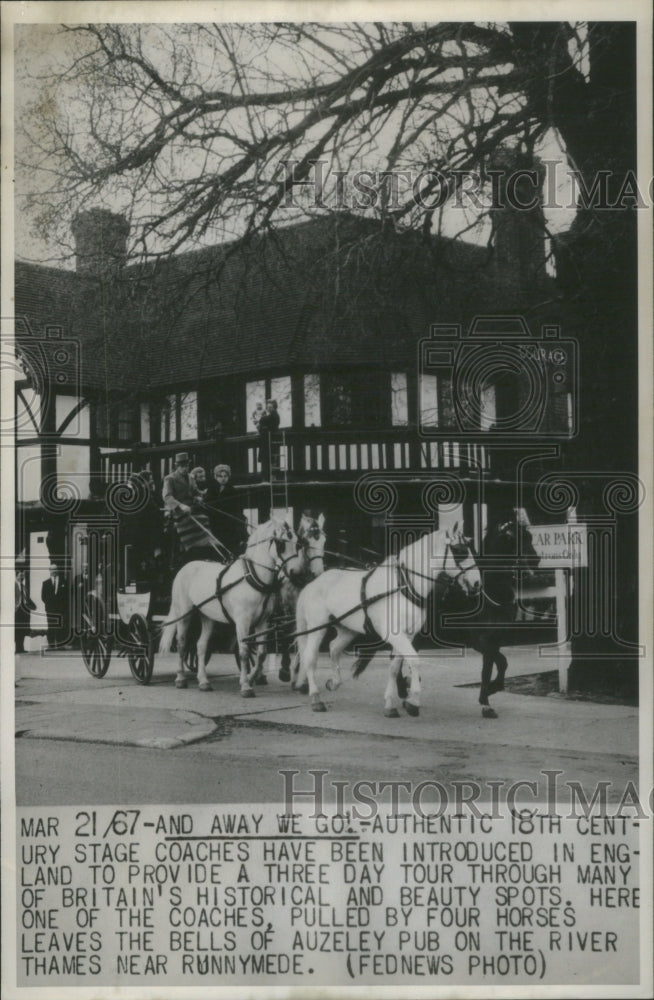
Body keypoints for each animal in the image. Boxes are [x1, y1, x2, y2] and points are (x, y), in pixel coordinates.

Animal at [160, 520, 304, 692]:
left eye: (297, 543)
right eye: (281, 544)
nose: (297, 574)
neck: (252, 577)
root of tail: (185, 568)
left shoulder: (263, 622)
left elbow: (261, 653)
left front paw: (251, 677)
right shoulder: (243, 621)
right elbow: (244, 652)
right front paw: (246, 686)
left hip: (207, 616)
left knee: (201, 645)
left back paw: (203, 681)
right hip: (184, 613)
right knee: (181, 643)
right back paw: (180, 678)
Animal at [296, 528, 482, 716]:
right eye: (459, 551)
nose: (477, 583)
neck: (404, 586)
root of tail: (313, 584)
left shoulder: (408, 635)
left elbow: (394, 668)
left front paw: (390, 704)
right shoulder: (395, 635)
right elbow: (414, 660)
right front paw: (413, 701)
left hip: (348, 629)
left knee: (334, 647)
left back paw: (334, 682)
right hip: (317, 627)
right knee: (310, 656)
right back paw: (316, 698)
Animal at [354, 516, 544, 720]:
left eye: (529, 536)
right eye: (513, 538)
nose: (536, 560)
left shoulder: (496, 640)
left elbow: (497, 666)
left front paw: (490, 694)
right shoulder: (480, 642)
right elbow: (494, 666)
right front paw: (487, 698)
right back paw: (405, 691)